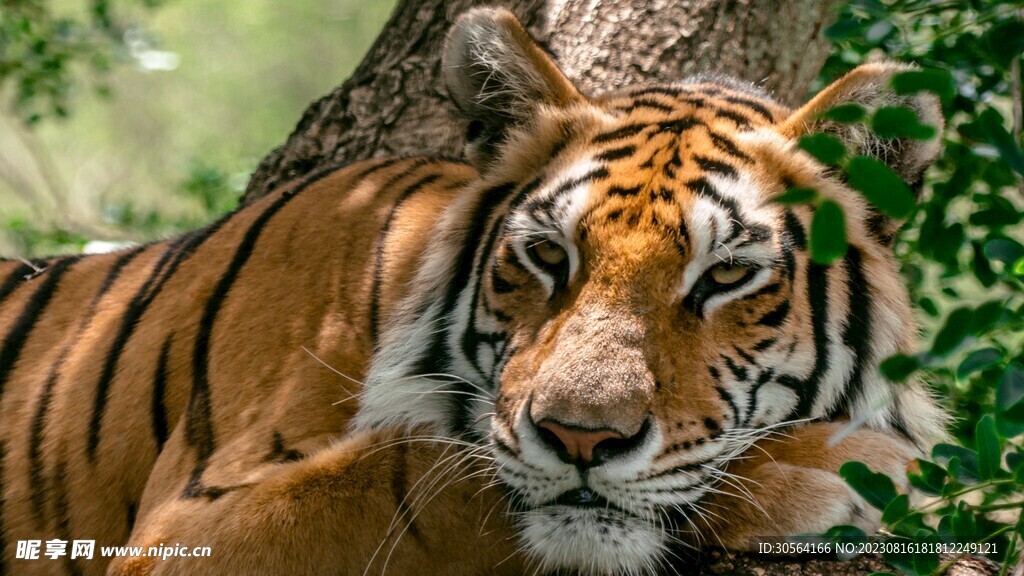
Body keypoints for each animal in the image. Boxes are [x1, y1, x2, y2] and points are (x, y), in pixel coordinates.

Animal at [0, 7, 948, 576]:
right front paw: (848, 468)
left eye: (724, 276)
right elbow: (431, 475)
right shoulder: (189, 529)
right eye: (548, 255)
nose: (581, 439)